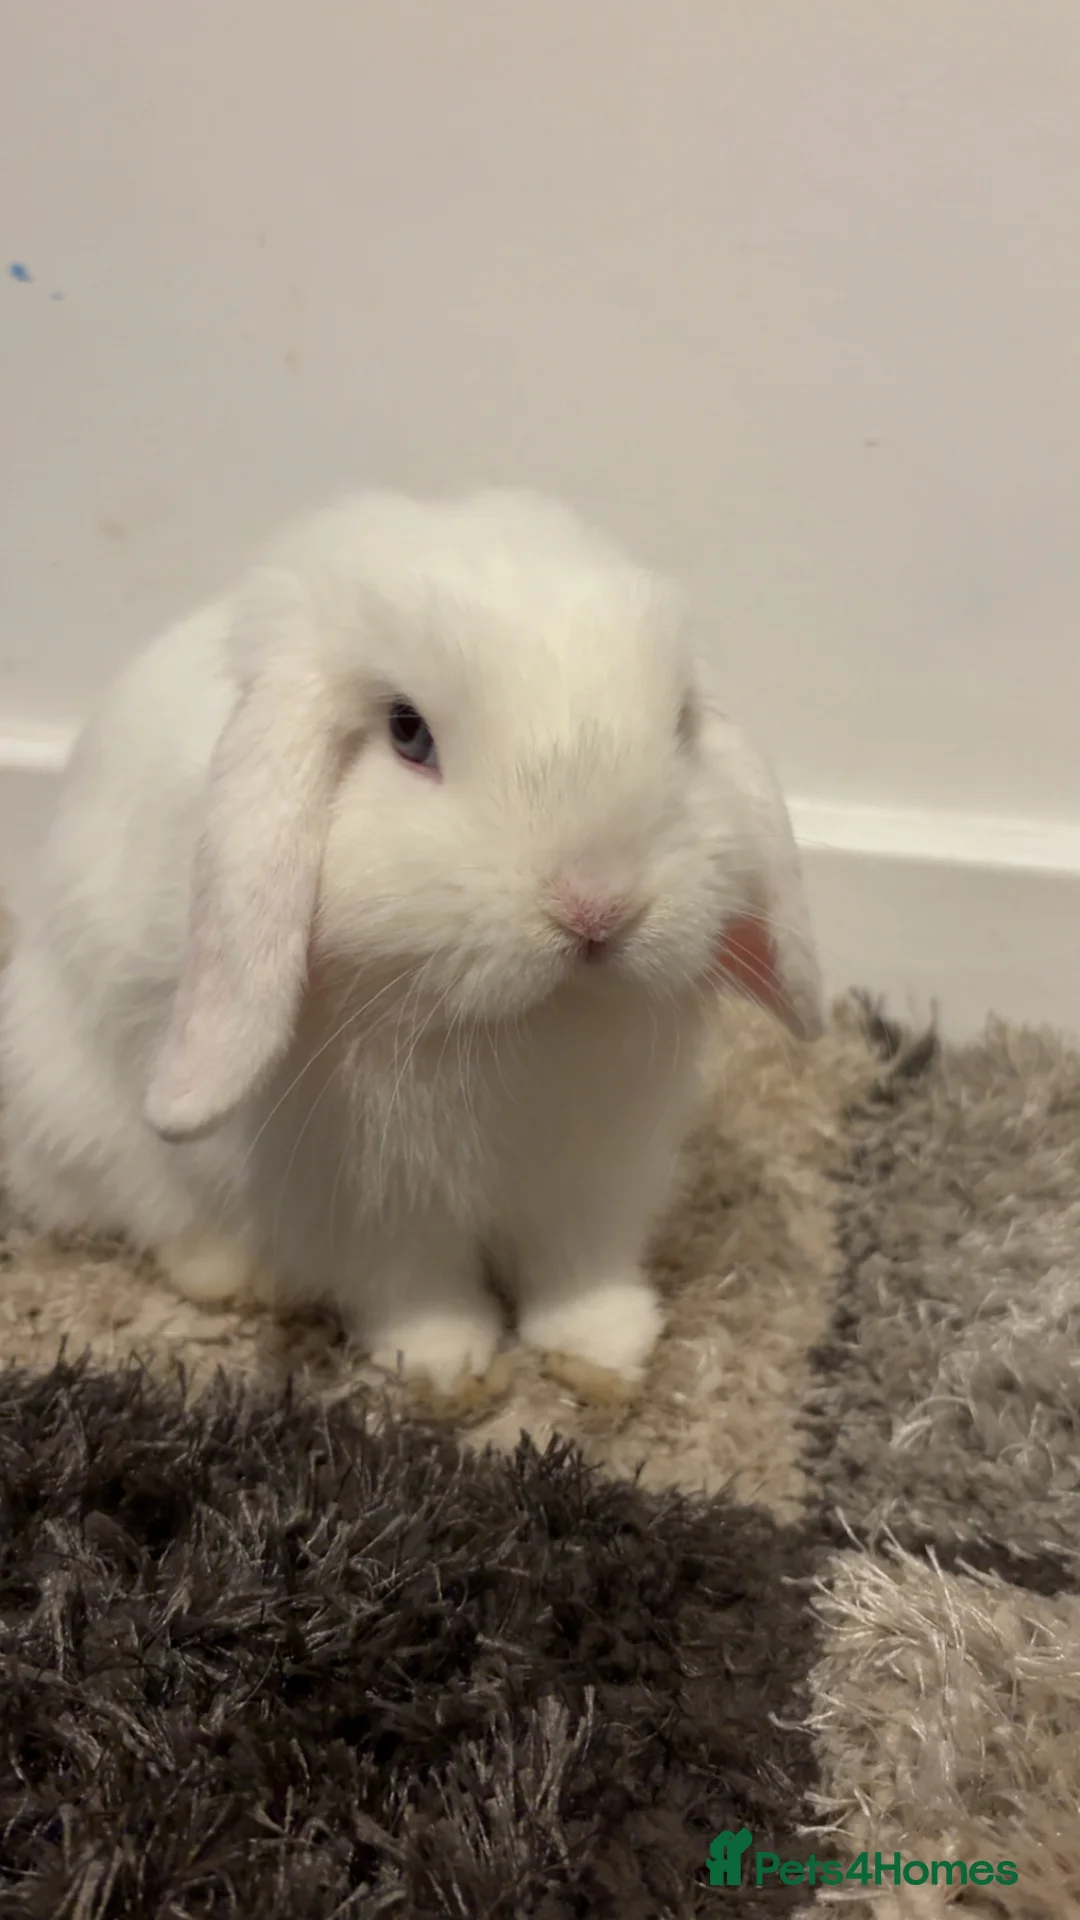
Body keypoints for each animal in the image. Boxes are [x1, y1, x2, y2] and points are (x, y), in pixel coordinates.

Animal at [0, 489, 823, 1391]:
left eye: (680, 725)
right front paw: (443, 1362)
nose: (598, 905)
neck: (526, 1028)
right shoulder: (362, 1197)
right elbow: (412, 1281)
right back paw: (230, 1275)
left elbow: (579, 1265)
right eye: (407, 733)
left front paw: (604, 1348)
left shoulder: (598, 1173)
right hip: (73, 1112)